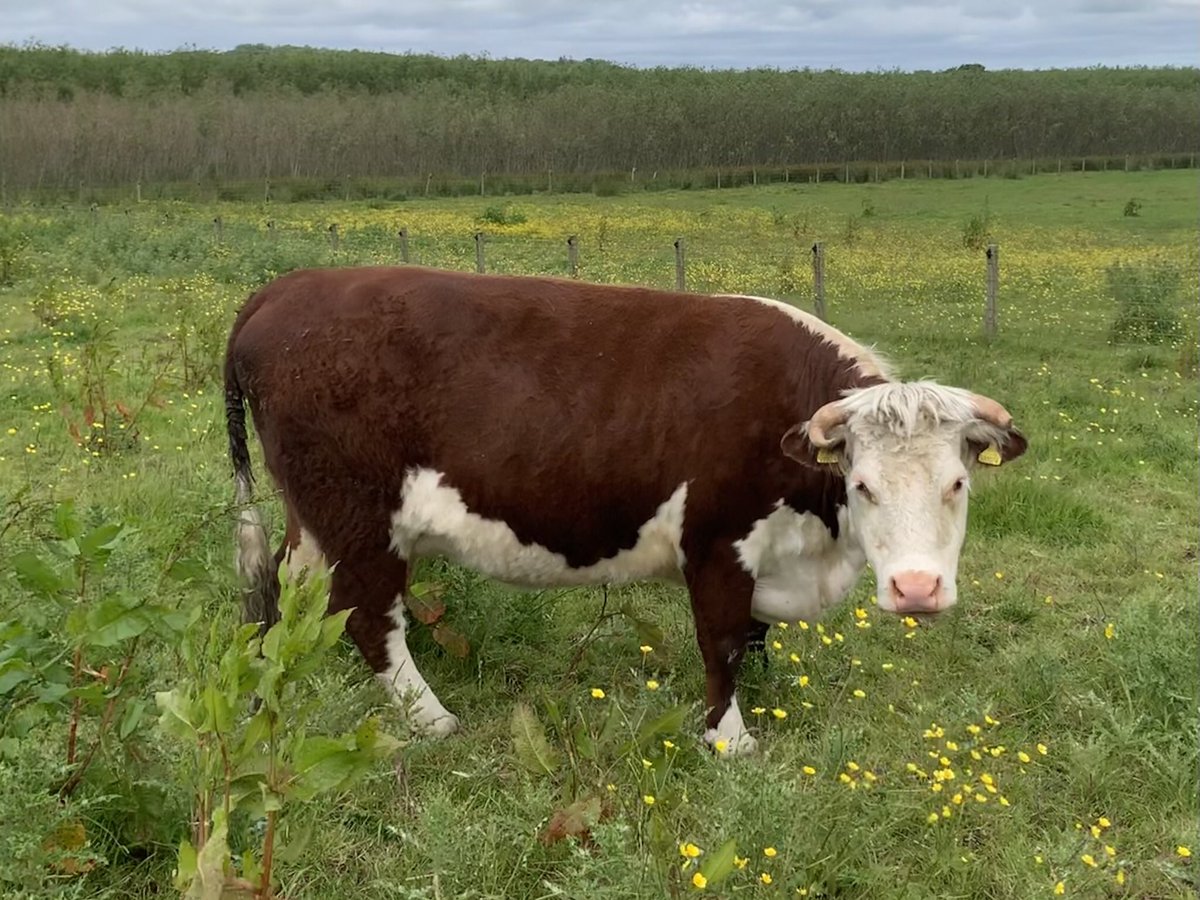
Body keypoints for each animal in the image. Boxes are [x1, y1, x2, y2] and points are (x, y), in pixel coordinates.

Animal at [224, 266, 1027, 754]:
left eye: (957, 483)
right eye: (863, 485)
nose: (917, 590)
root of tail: (287, 287)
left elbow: (756, 637)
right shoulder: (717, 542)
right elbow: (724, 642)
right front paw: (731, 738)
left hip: (314, 514)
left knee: (298, 586)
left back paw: (290, 670)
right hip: (360, 517)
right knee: (369, 614)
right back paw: (431, 717)